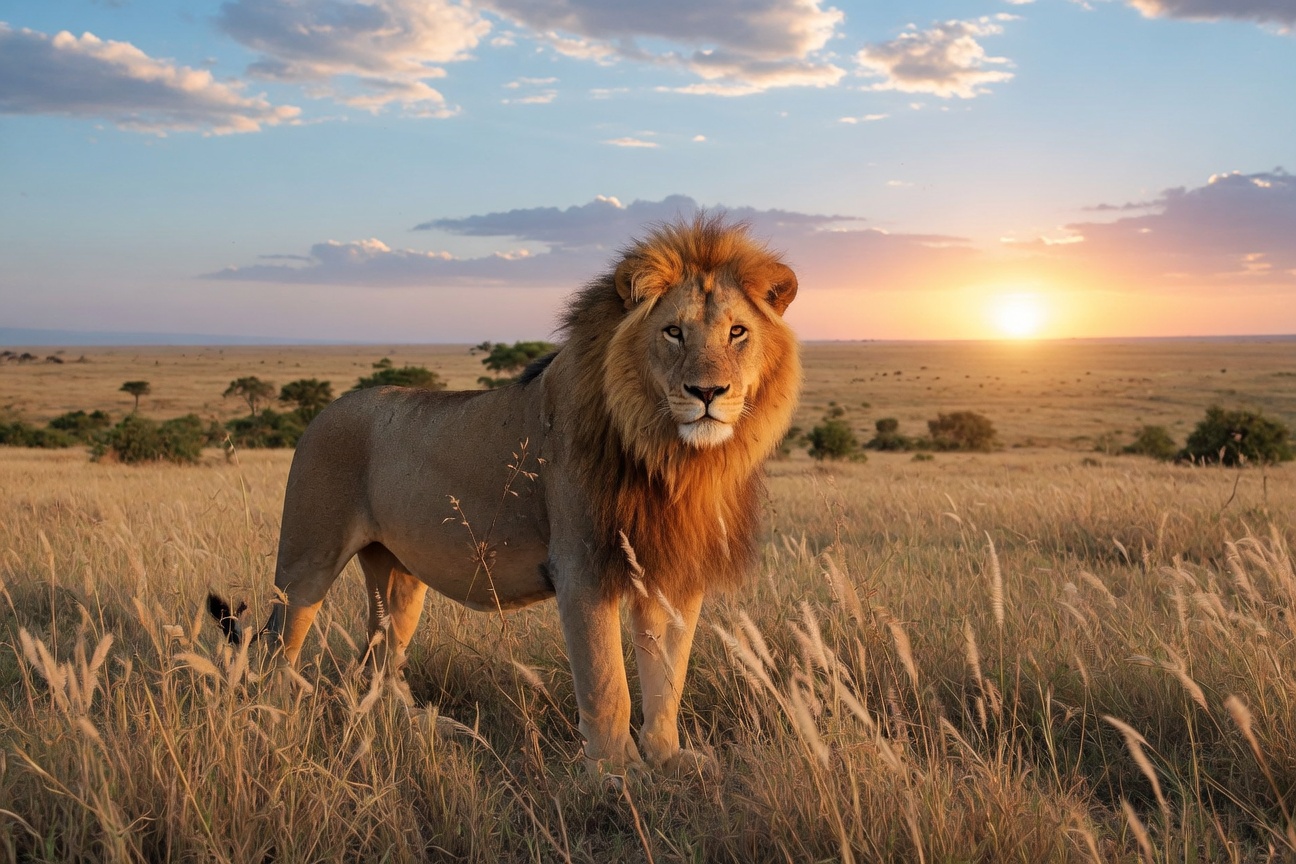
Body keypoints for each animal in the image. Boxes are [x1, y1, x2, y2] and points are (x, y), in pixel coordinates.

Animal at [209, 215, 801, 774]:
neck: (671, 457)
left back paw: (423, 730)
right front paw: (616, 774)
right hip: (306, 561)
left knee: (375, 663)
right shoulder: (582, 568)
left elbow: (667, 677)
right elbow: (607, 684)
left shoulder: (670, 571)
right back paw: (277, 724)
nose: (708, 392)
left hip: (397, 576)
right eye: (674, 332)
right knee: (277, 651)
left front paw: (668, 759)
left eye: (738, 332)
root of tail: (324, 410)